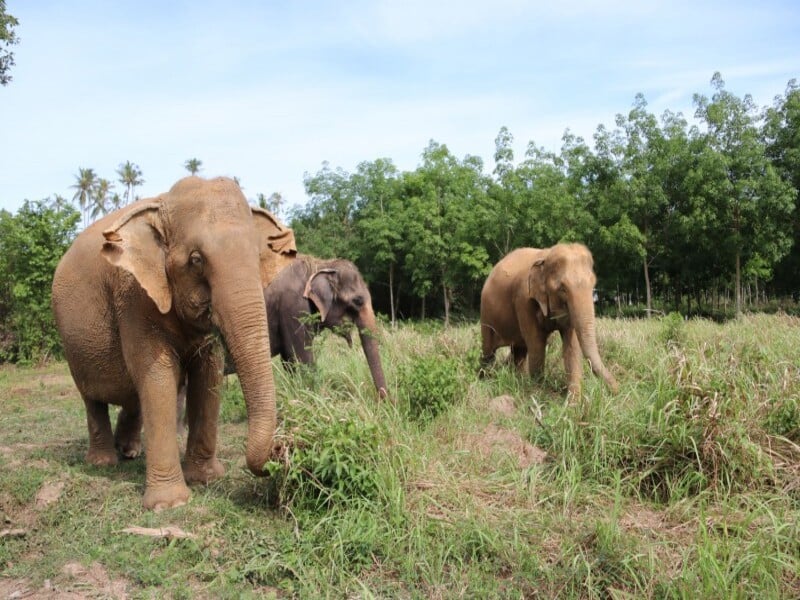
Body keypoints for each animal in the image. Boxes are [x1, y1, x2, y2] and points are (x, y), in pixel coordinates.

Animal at [51, 176, 296, 510]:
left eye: (258, 258)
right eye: (196, 260)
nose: (282, 450)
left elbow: (208, 377)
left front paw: (206, 479)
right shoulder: (134, 298)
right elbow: (158, 378)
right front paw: (169, 504)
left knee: (131, 396)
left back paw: (130, 452)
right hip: (73, 346)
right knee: (93, 400)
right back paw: (103, 462)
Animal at [263, 255, 388, 398]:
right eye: (358, 301)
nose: (385, 401)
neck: (321, 264)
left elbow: (289, 362)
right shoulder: (294, 307)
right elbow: (301, 359)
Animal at [479, 243, 618, 396]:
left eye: (593, 284)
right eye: (562, 289)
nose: (618, 389)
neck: (546, 255)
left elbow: (572, 346)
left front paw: (572, 401)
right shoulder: (523, 300)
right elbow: (537, 343)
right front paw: (539, 393)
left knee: (519, 351)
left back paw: (517, 379)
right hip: (486, 314)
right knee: (488, 352)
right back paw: (484, 379)